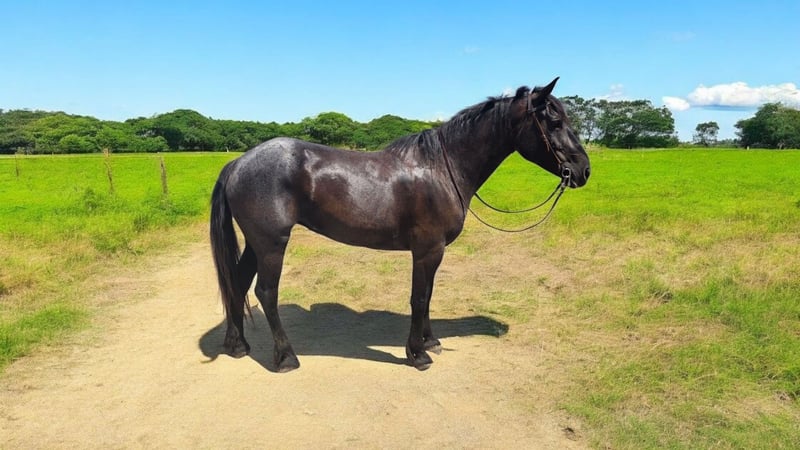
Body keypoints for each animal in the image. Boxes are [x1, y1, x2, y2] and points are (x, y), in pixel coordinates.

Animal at [210, 77, 590, 372]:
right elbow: (419, 298)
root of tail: (238, 162)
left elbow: (429, 294)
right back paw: (286, 357)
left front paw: (431, 341)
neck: (442, 168)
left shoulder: (432, 253)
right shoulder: (427, 250)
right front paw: (418, 354)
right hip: (272, 244)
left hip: (257, 244)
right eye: (554, 122)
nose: (583, 170)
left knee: (238, 284)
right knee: (265, 292)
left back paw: (237, 345)